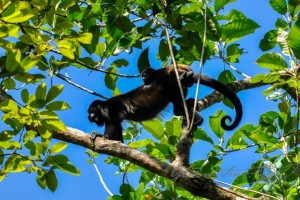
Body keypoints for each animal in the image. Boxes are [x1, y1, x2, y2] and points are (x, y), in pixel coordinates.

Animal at [88, 64, 243, 142]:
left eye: (91, 112)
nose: (89, 117)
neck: (104, 107)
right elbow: (119, 141)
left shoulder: (111, 109)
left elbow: (114, 128)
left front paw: (101, 136)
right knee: (178, 108)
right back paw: (190, 104)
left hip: (173, 86)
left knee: (179, 105)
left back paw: (197, 119)